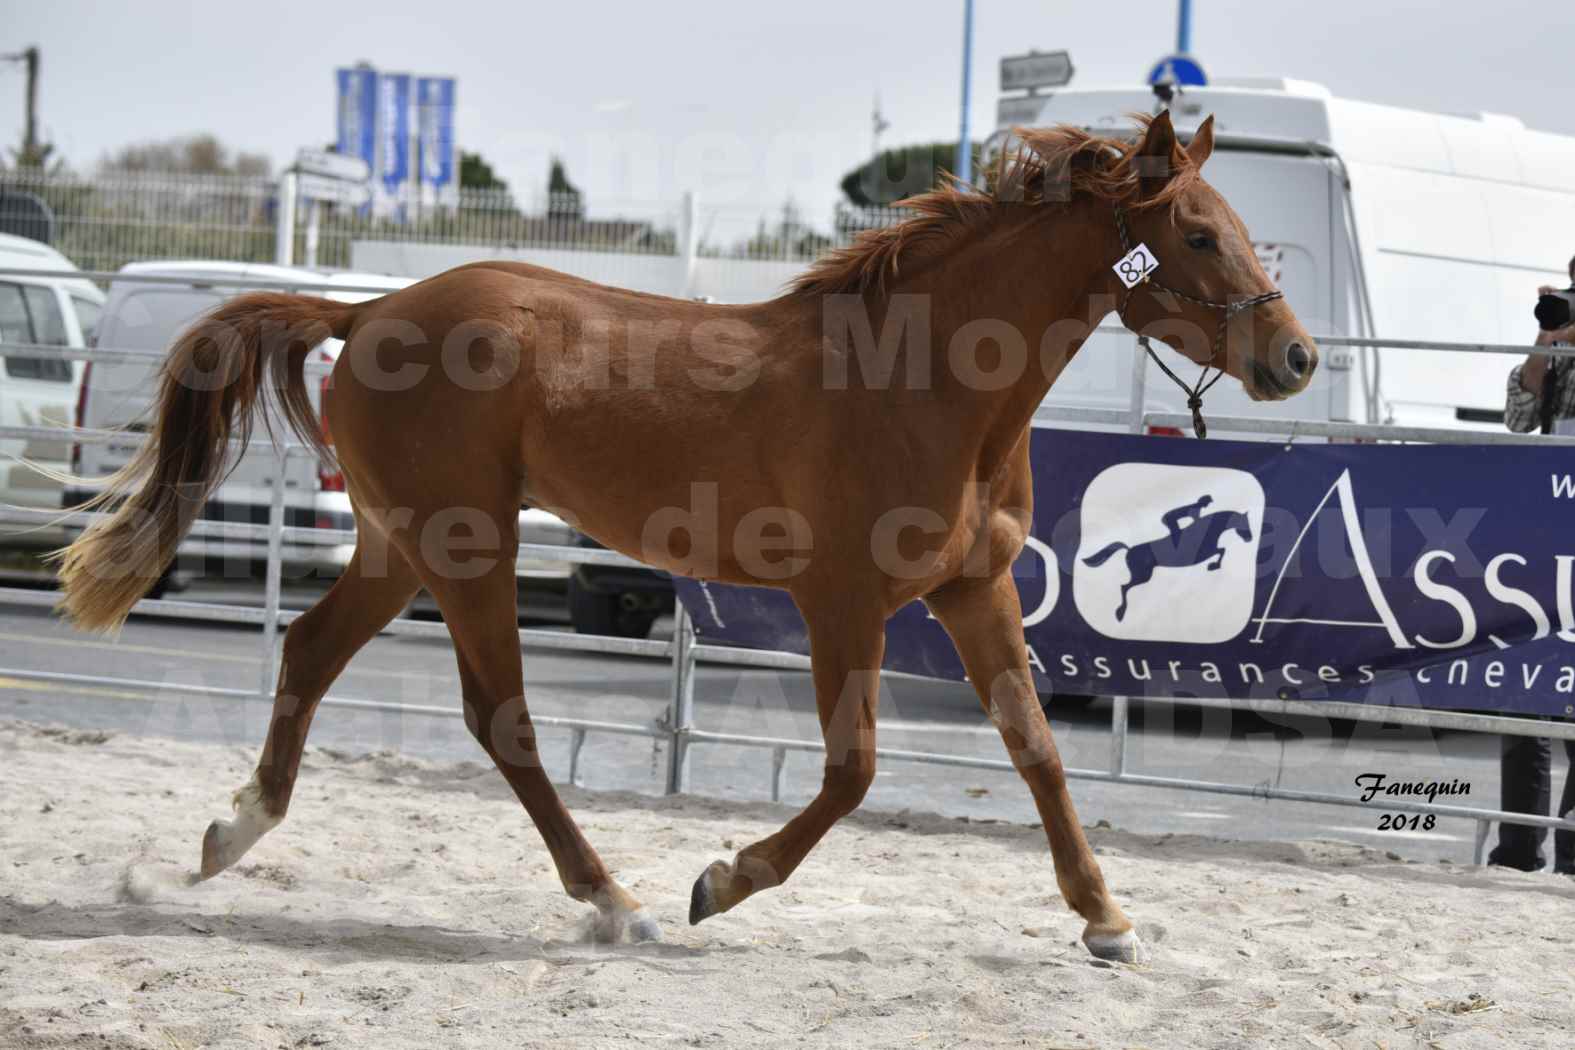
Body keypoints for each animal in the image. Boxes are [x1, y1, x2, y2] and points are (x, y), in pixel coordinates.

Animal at [55, 114, 1316, 963]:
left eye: (1244, 230)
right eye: (1198, 235)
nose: (1296, 358)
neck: (926, 382)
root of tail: (365, 311)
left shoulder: (977, 590)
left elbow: (1037, 745)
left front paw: (1107, 920)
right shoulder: (842, 605)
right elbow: (855, 771)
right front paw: (724, 880)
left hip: (396, 546)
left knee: (312, 649)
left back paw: (230, 836)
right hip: (465, 547)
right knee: (498, 715)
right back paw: (619, 901)